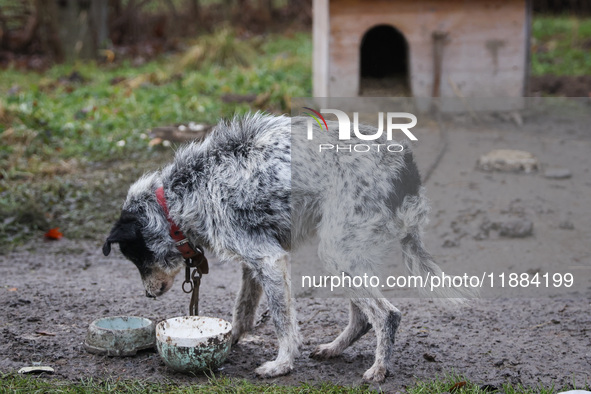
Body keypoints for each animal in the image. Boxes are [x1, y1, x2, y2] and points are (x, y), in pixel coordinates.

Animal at [104, 113, 470, 382]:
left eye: (137, 258)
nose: (149, 294)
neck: (181, 194)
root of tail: (407, 168)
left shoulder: (269, 260)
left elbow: (283, 321)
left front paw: (281, 364)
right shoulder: (253, 262)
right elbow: (242, 311)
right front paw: (230, 340)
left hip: (336, 253)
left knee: (386, 315)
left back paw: (379, 370)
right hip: (348, 254)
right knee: (364, 317)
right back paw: (334, 349)